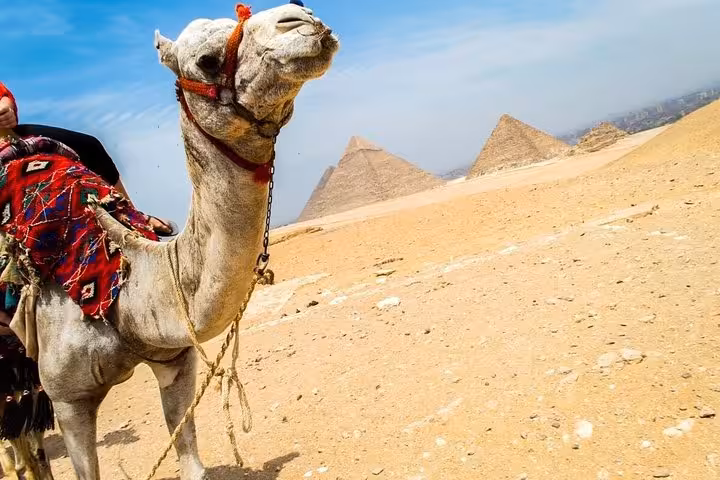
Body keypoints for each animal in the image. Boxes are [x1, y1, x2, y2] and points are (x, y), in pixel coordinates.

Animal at [5, 3, 338, 479]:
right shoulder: (69, 399)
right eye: (207, 60)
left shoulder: (177, 361)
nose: (302, 18)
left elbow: (190, 457)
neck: (121, 291)